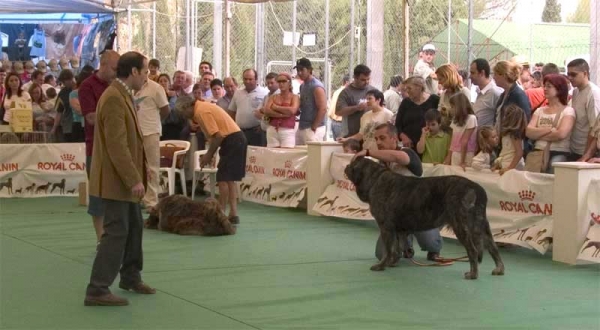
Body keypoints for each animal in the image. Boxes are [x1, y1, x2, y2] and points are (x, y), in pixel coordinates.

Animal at [344, 157, 504, 278]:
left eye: (353, 164)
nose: (346, 166)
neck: (375, 179)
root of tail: (477, 189)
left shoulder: (386, 228)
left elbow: (388, 249)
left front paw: (381, 265)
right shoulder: (398, 230)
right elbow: (396, 248)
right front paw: (392, 262)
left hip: (461, 225)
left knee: (473, 250)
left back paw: (473, 274)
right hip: (482, 225)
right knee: (493, 247)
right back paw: (499, 269)